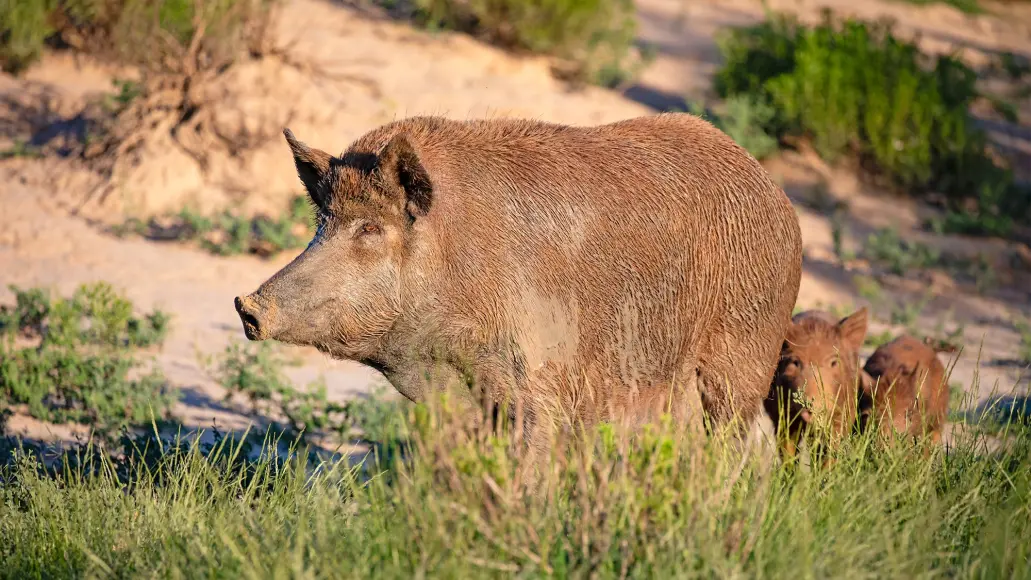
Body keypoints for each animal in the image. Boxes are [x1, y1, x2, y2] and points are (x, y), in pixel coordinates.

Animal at [234, 114, 804, 463]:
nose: (246, 304)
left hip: (743, 356)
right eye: (322, 223)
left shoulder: (538, 378)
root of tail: (778, 197)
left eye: (371, 228)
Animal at [767, 306, 870, 461]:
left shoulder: (844, 410)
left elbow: (832, 447)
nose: (813, 404)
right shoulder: (781, 412)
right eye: (795, 362)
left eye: (834, 362)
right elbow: (787, 447)